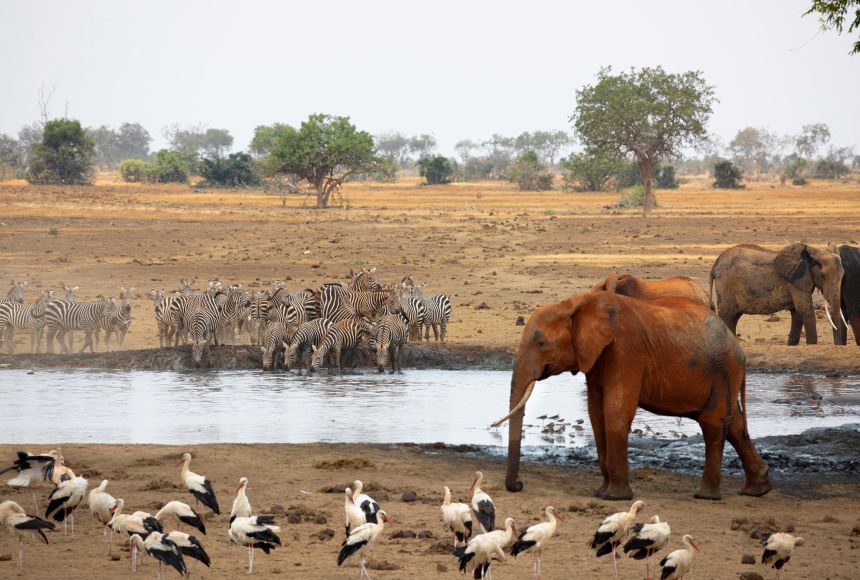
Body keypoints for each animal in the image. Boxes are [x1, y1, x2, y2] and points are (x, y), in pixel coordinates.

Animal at [490, 292, 772, 500]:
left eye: (541, 343)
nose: (519, 485)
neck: (573, 304)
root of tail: (738, 347)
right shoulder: (596, 356)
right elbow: (596, 413)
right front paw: (601, 492)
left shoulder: (624, 350)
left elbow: (615, 409)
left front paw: (614, 497)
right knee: (734, 424)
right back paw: (757, 490)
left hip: (723, 370)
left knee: (713, 423)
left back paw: (705, 496)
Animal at [708, 241, 844, 344]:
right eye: (822, 276)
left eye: (843, 276)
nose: (839, 345)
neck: (813, 251)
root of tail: (715, 265)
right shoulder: (795, 281)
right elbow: (806, 311)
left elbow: (797, 314)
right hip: (726, 287)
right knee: (727, 317)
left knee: (734, 318)